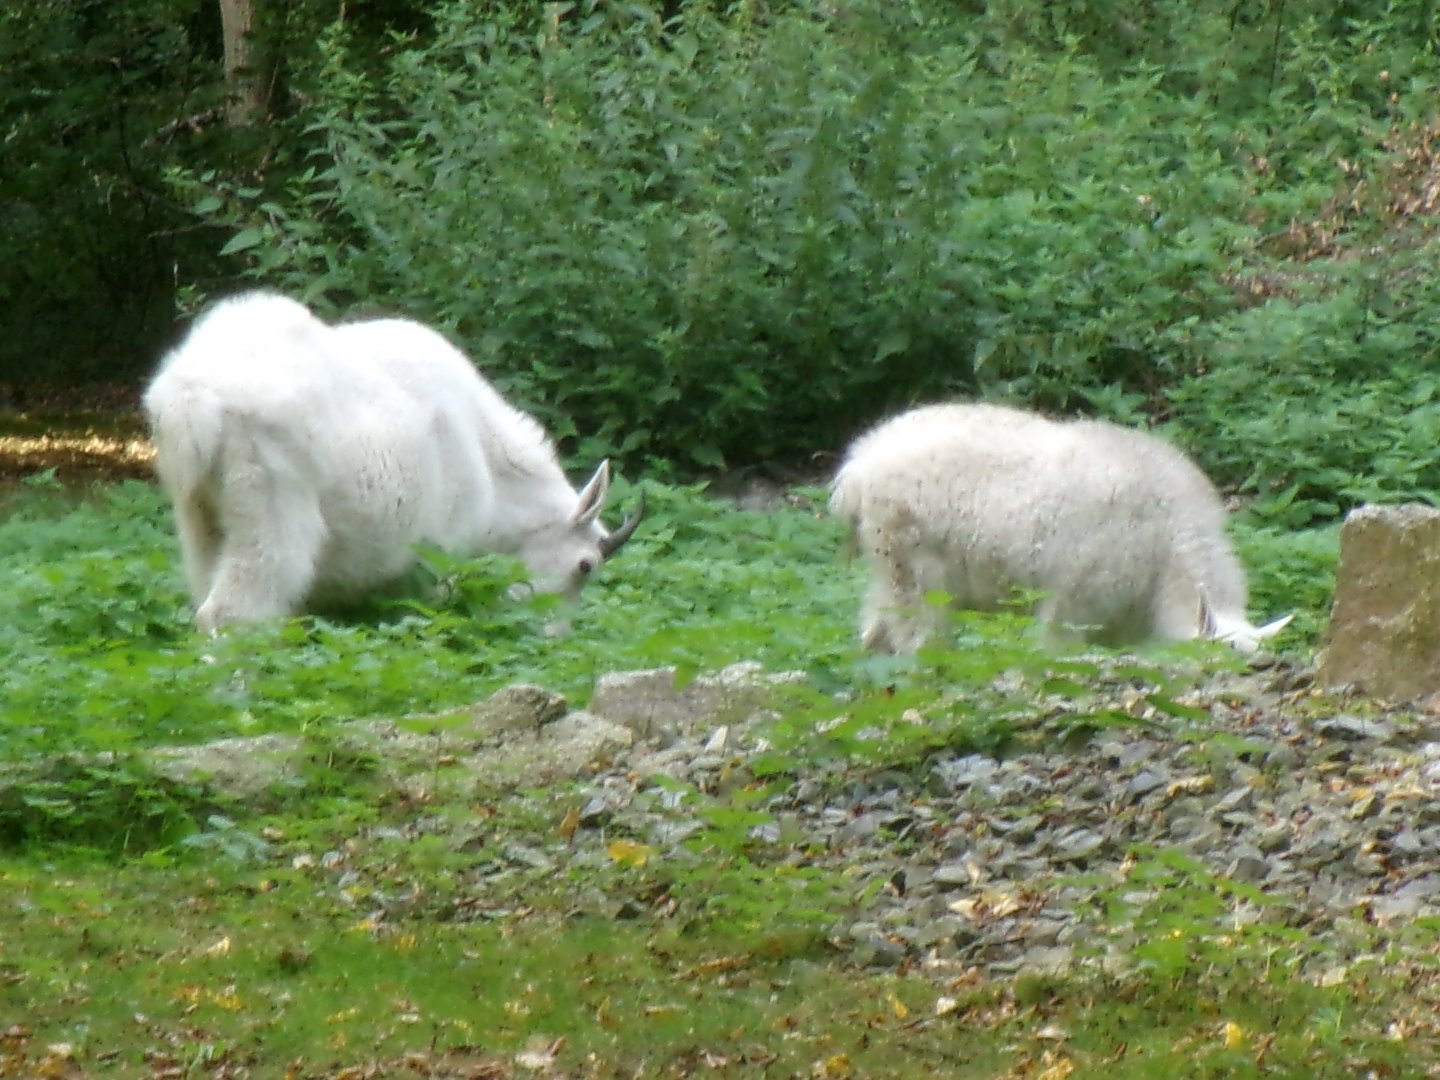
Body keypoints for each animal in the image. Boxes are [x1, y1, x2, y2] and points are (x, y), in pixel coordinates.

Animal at [143, 291, 643, 630]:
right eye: (585, 566)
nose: (551, 634)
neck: (486, 456)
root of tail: (189, 399)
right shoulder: (439, 551)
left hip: (199, 518)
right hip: (271, 508)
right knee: (232, 613)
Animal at [830, 402, 1290, 654]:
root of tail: (857, 468)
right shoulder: (1077, 597)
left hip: (889, 567)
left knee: (875, 632)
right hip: (915, 567)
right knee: (916, 637)